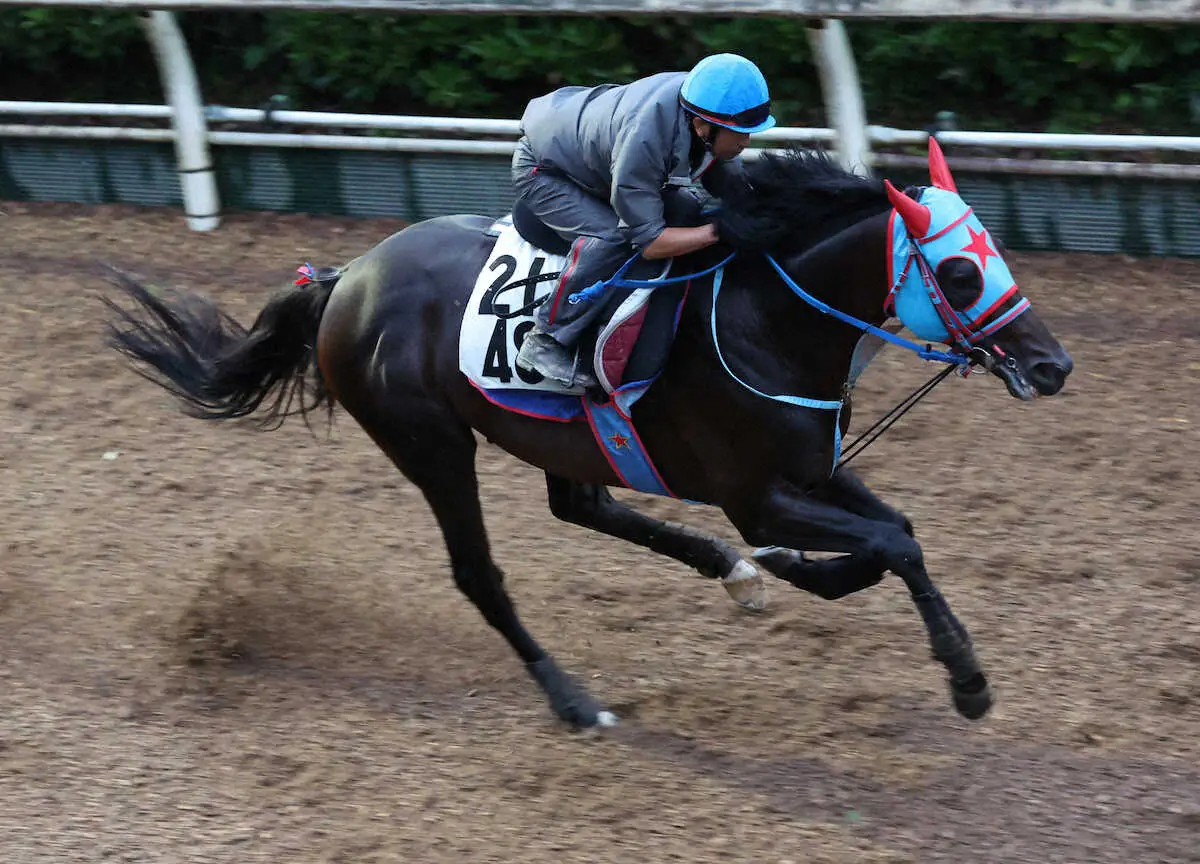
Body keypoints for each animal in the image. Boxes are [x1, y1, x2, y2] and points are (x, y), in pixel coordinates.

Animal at [108, 139, 1075, 729]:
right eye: (959, 271)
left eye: (998, 256)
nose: (1054, 364)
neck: (766, 319)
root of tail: (346, 279)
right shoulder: (757, 497)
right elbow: (889, 544)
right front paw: (967, 681)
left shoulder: (812, 470)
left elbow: (894, 535)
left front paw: (799, 577)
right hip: (432, 446)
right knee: (481, 575)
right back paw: (575, 701)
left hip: (555, 437)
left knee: (584, 508)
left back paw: (734, 577)